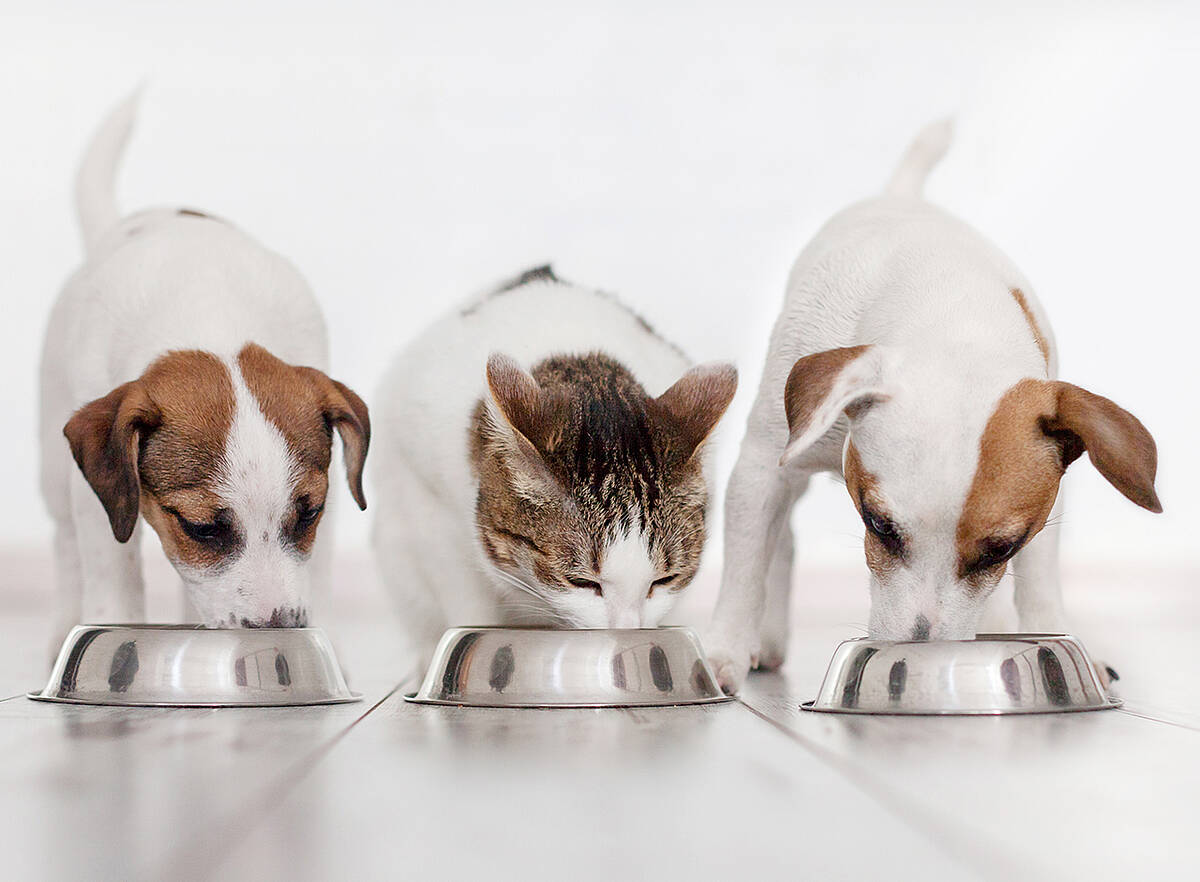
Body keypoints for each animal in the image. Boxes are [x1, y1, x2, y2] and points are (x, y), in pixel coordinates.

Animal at [39, 94, 367, 648]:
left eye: (308, 514)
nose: (278, 630)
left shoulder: (331, 497)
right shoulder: (100, 504)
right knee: (63, 541)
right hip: (53, 462)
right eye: (203, 529)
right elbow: (111, 578)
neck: (209, 312)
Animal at [705, 120, 1156, 691]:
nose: (919, 653)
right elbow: (745, 564)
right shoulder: (764, 465)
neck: (954, 317)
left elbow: (1038, 581)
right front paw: (723, 648)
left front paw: (1053, 634)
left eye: (1001, 549)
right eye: (878, 525)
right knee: (778, 541)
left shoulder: (1041, 513)